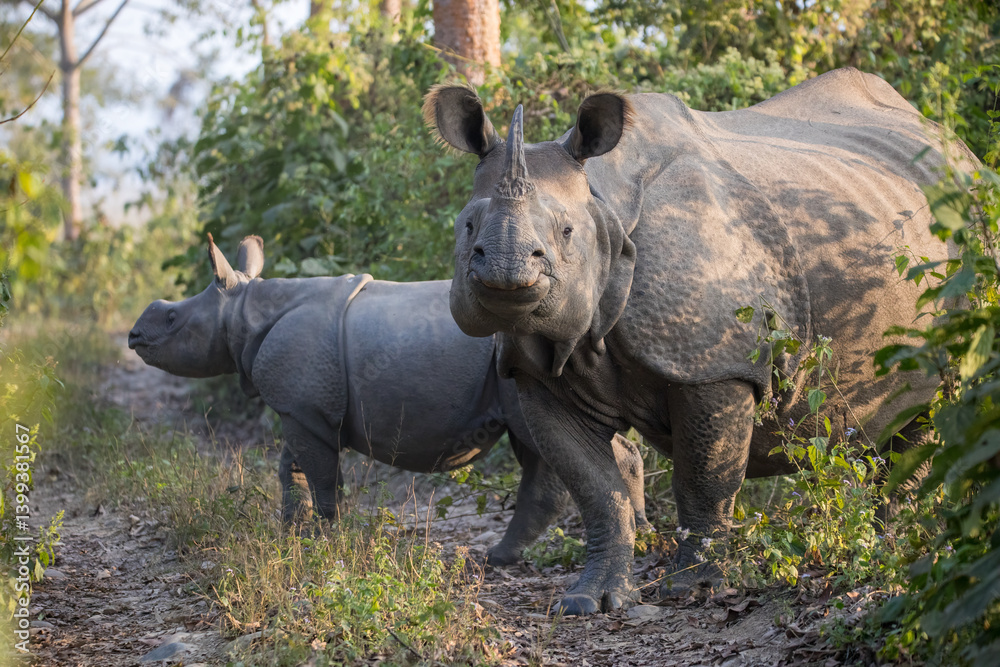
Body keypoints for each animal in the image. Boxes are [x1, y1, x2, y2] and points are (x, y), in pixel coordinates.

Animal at [127, 234, 649, 565]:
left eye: (172, 319)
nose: (133, 335)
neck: (242, 311)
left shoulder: (306, 409)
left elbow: (321, 477)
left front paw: (325, 537)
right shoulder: (302, 408)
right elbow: (290, 470)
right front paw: (292, 534)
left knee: (544, 441)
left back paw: (504, 558)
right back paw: (630, 536)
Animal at [424, 67, 980, 614]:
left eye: (566, 232)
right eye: (467, 226)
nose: (505, 269)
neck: (604, 207)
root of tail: (958, 148)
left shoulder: (713, 364)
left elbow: (704, 477)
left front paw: (694, 589)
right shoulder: (541, 374)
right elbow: (595, 490)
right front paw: (588, 600)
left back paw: (893, 555)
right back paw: (882, 547)